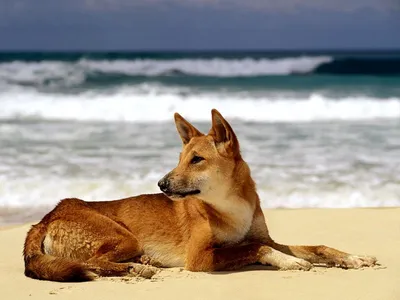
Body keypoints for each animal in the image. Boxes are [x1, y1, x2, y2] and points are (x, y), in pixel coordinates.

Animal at [23, 109, 376, 282]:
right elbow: (256, 248)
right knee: (93, 262)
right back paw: (138, 269)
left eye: (196, 160)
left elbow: (315, 247)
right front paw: (289, 262)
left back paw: (142, 262)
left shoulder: (265, 236)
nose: (161, 184)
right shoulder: (200, 257)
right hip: (123, 237)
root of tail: (46, 217)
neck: (231, 209)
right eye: (180, 159)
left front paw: (352, 257)